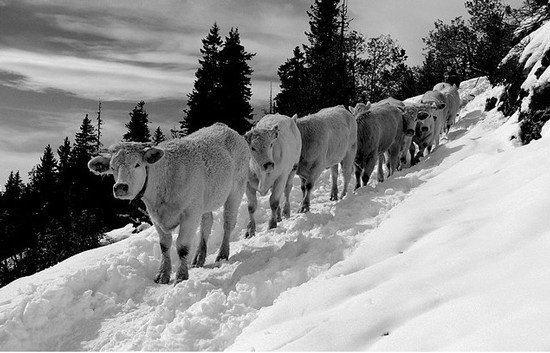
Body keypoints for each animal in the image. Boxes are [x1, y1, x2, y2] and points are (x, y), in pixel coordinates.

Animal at [87, 123, 251, 284]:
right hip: (205, 202)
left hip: (236, 189)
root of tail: (225, 127)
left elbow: (182, 246)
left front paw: (181, 276)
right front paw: (162, 274)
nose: (120, 187)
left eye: (137, 164)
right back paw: (199, 257)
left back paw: (222, 254)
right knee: (207, 223)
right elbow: (164, 246)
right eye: (112, 167)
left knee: (228, 223)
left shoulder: (190, 214)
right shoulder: (155, 217)